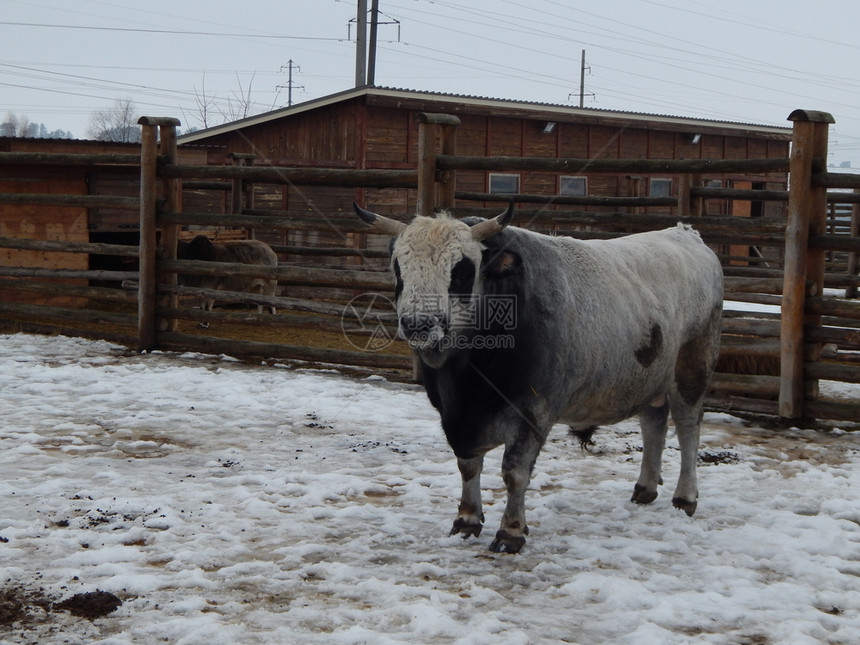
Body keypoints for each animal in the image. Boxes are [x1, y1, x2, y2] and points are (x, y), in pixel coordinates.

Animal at [352, 203, 724, 552]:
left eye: (462, 271)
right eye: (399, 268)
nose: (418, 324)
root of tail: (685, 234)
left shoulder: (532, 411)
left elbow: (514, 473)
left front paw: (510, 531)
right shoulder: (457, 420)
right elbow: (469, 467)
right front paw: (467, 519)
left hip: (692, 369)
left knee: (688, 428)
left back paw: (685, 496)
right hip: (648, 378)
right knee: (653, 424)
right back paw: (645, 487)